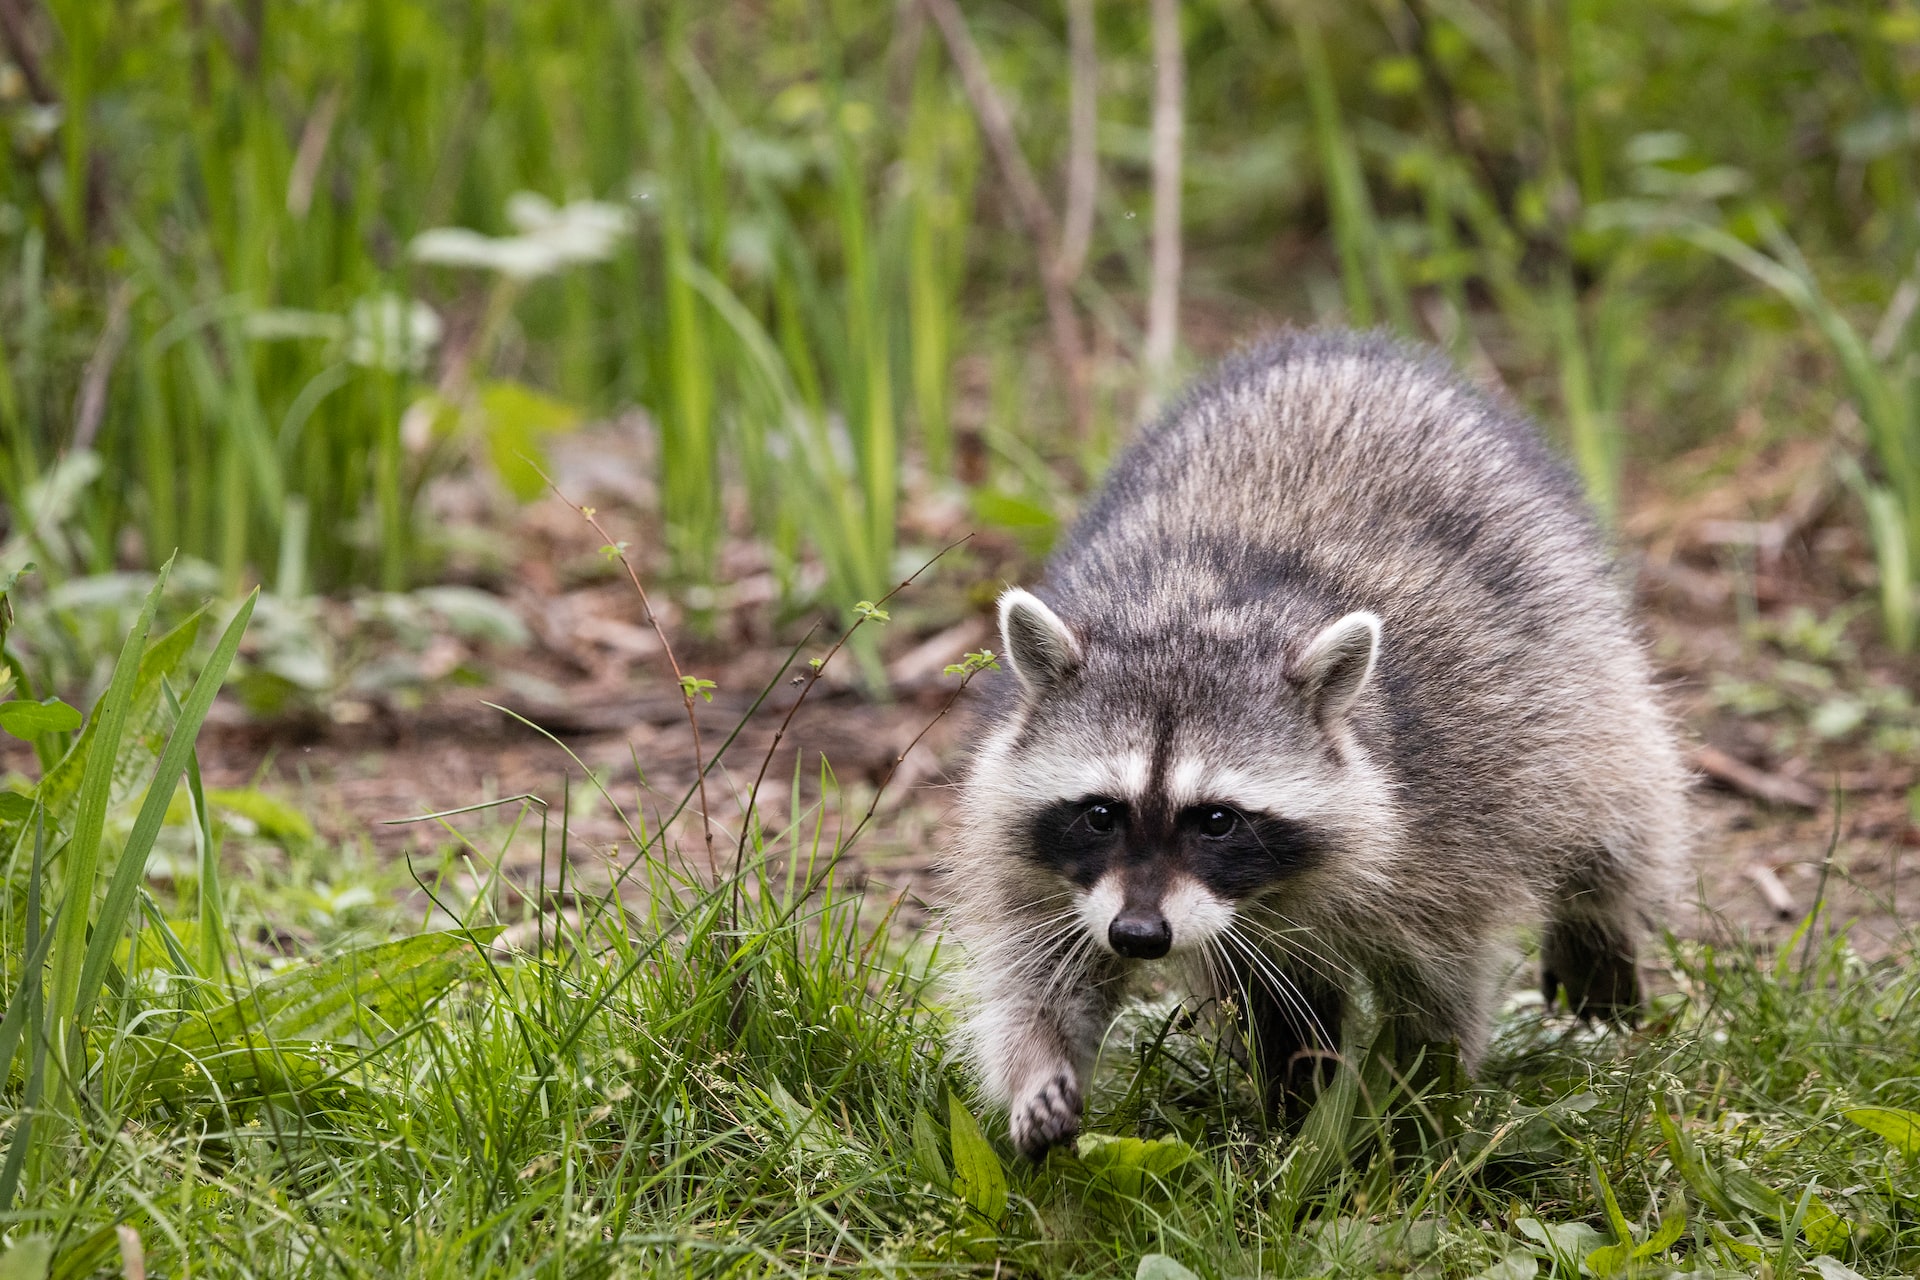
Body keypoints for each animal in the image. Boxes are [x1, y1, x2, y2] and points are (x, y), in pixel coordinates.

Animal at [936, 330, 1689, 1159]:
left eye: (1217, 819)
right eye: (1102, 813)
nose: (1138, 935)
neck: (1192, 617)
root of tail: (1350, 347)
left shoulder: (1452, 814)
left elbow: (1440, 991)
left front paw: (1417, 1112)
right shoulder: (1039, 850)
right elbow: (1040, 966)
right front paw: (1039, 1066)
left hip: (1573, 653)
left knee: (1615, 801)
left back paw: (1598, 926)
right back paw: (1294, 1093)